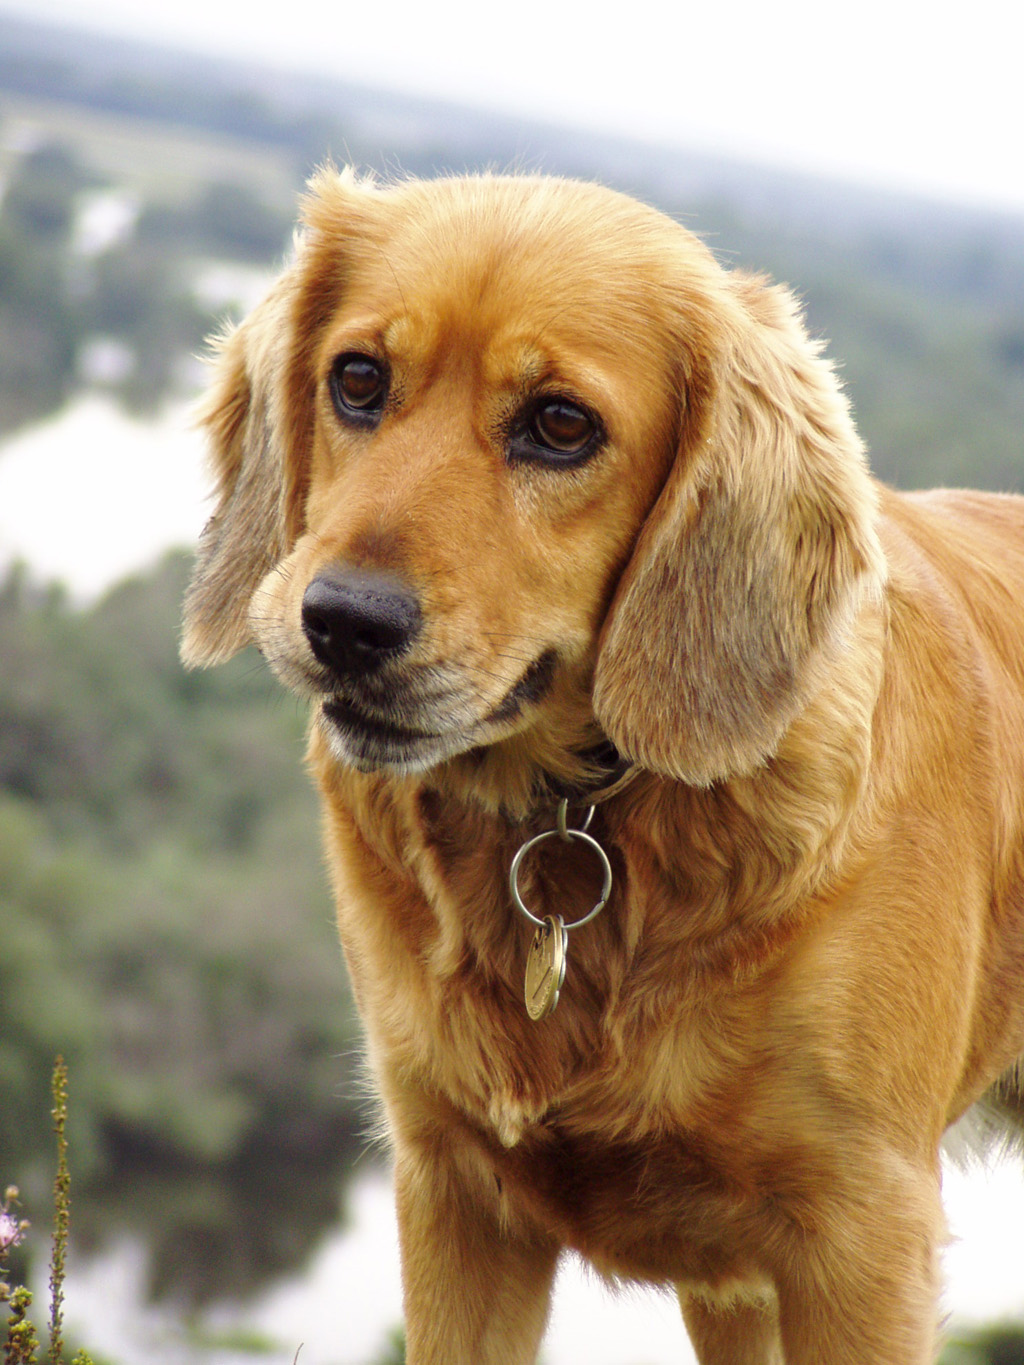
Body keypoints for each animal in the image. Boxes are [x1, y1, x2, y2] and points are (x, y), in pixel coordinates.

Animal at [180, 173, 1024, 1365]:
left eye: (561, 425)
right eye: (357, 380)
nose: (342, 622)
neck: (576, 823)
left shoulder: (863, 1239)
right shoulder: (455, 1197)